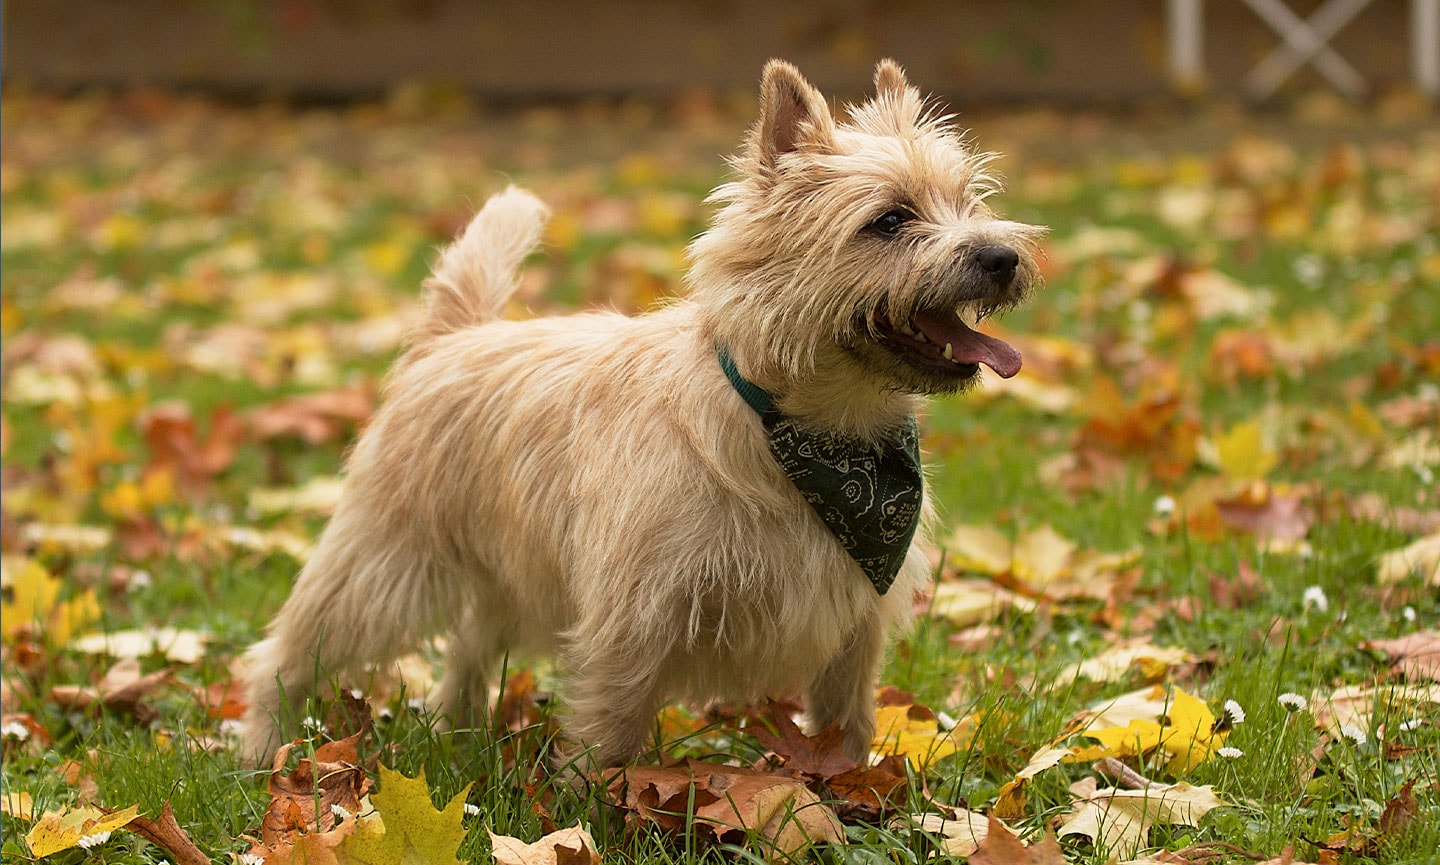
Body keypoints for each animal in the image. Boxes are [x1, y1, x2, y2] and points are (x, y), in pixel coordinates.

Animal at [241, 57, 1042, 765]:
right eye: (889, 221)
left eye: (972, 202)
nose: (1002, 256)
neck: (814, 433)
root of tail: (453, 336)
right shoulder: (635, 616)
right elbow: (612, 730)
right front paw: (596, 813)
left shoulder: (855, 627)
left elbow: (845, 722)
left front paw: (850, 796)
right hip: (383, 564)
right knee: (285, 652)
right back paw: (261, 752)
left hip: (506, 573)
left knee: (467, 645)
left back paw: (461, 735)